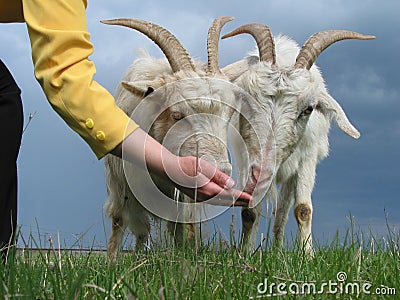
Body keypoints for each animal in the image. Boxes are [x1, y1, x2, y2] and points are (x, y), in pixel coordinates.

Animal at [104, 16, 241, 262]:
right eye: (177, 114)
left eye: (229, 114)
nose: (221, 172)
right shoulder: (121, 184)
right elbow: (120, 222)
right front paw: (112, 263)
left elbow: (182, 229)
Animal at [222, 24, 376, 253]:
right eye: (246, 100)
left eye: (308, 109)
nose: (263, 170)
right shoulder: (245, 159)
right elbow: (249, 210)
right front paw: (245, 252)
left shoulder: (307, 158)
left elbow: (303, 209)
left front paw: (307, 255)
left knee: (282, 214)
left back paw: (278, 251)